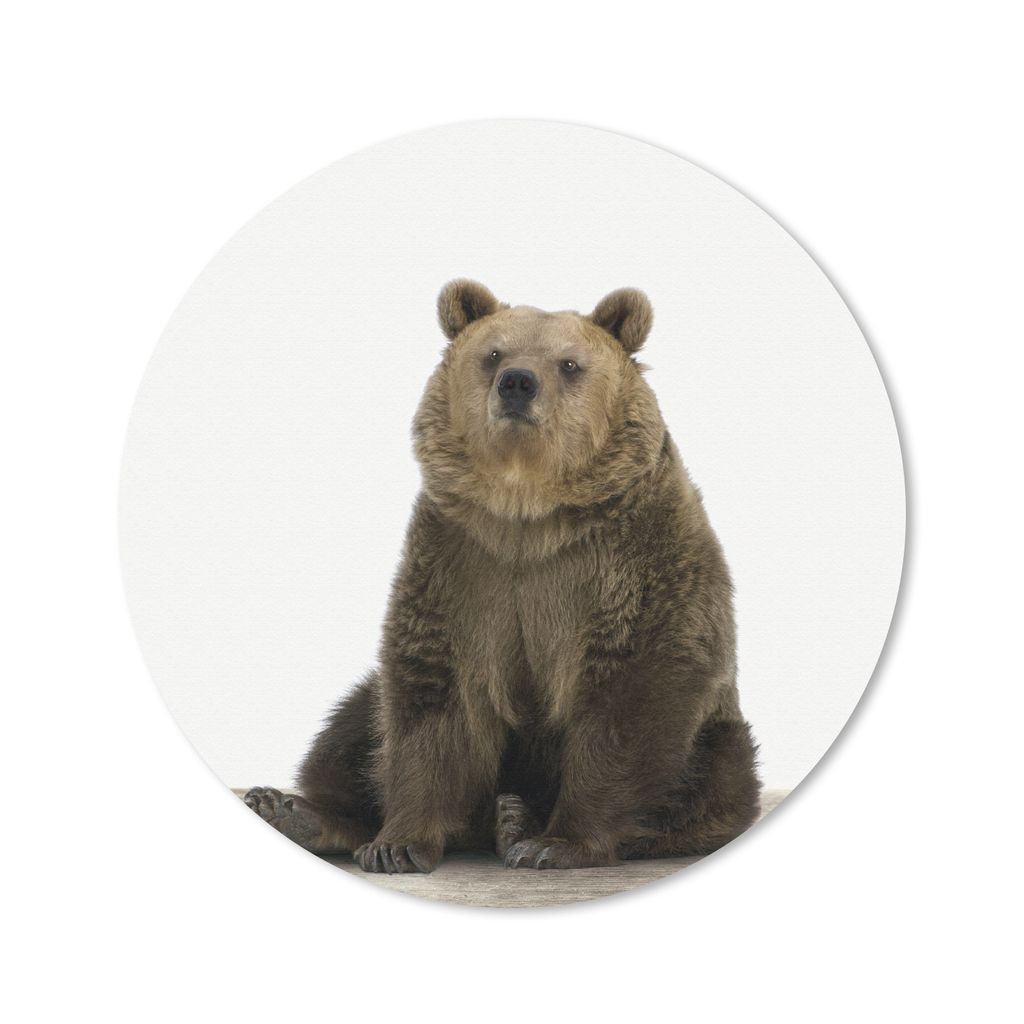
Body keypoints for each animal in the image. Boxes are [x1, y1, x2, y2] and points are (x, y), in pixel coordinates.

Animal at [244, 280, 761, 872]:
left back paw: (517, 820)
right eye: (493, 353)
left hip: (717, 739)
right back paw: (295, 810)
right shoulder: (461, 563)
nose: (517, 382)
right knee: (353, 725)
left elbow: (633, 692)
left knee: (713, 781)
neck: (527, 513)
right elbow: (431, 697)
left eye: (569, 363)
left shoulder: (634, 559)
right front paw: (396, 844)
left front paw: (556, 843)